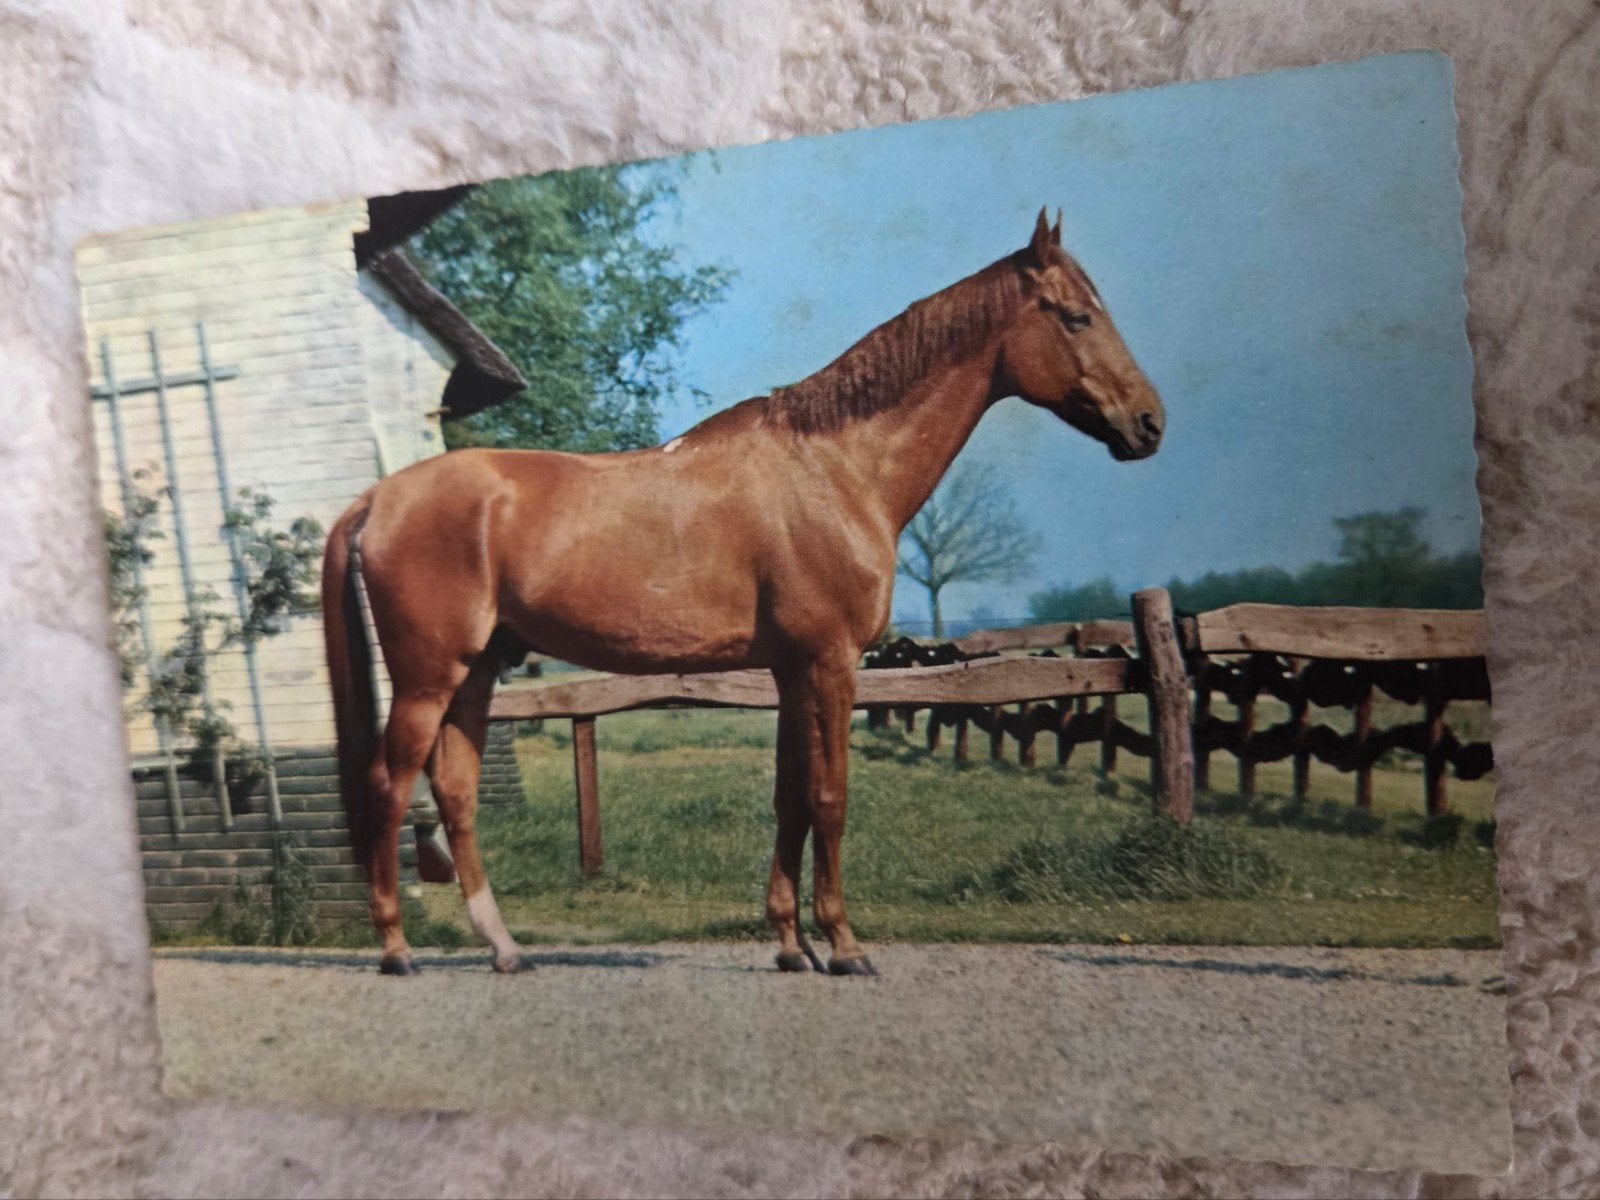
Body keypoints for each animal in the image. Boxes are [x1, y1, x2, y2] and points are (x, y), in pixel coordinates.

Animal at [322, 208, 1163, 977]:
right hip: (428, 679)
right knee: (390, 786)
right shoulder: (831, 663)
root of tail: (377, 498)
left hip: (477, 672)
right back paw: (396, 950)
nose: (1149, 423)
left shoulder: (791, 669)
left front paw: (792, 945)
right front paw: (845, 947)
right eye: (1077, 315)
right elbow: (830, 798)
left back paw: (504, 949)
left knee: (456, 792)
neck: (837, 467)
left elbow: (790, 798)